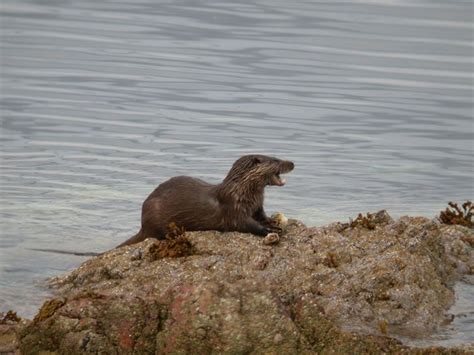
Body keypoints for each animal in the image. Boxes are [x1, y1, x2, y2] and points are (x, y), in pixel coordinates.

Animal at [116, 154, 292, 249]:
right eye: (276, 160)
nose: (292, 163)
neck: (242, 190)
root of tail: (143, 223)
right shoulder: (233, 208)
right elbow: (244, 224)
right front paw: (269, 229)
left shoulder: (257, 205)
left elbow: (261, 215)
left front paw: (272, 221)